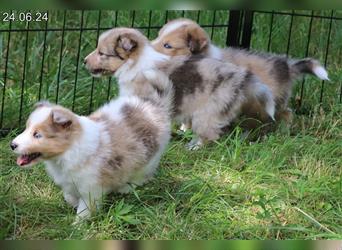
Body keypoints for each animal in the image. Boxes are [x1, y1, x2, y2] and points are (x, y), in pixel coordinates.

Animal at [10, 94, 171, 222]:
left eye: (37, 135)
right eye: (26, 128)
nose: (12, 145)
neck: (68, 151)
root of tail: (153, 105)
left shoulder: (91, 188)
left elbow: (85, 209)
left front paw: (77, 226)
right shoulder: (68, 182)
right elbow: (69, 196)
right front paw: (73, 204)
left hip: (149, 159)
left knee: (142, 175)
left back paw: (126, 188)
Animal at [83, 27, 276, 148]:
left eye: (102, 53)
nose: (84, 61)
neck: (135, 62)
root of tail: (243, 79)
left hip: (207, 112)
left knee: (210, 134)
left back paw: (194, 147)